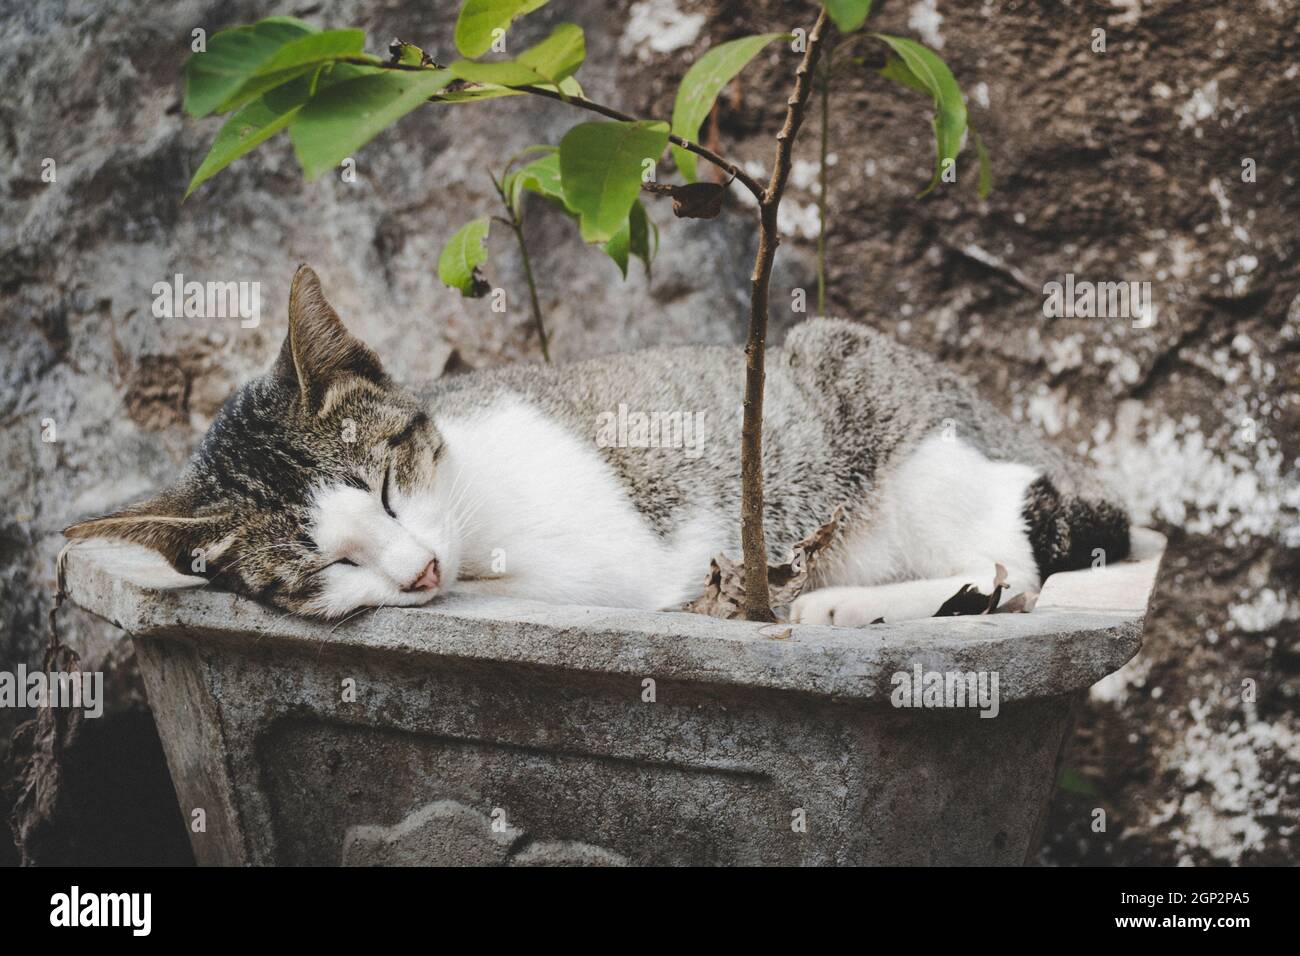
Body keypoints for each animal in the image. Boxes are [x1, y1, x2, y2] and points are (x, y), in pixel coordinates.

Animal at [65, 267, 1133, 629]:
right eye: (325, 562)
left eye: (387, 487)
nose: (417, 574)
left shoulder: (610, 563)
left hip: (884, 407)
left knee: (1025, 563)